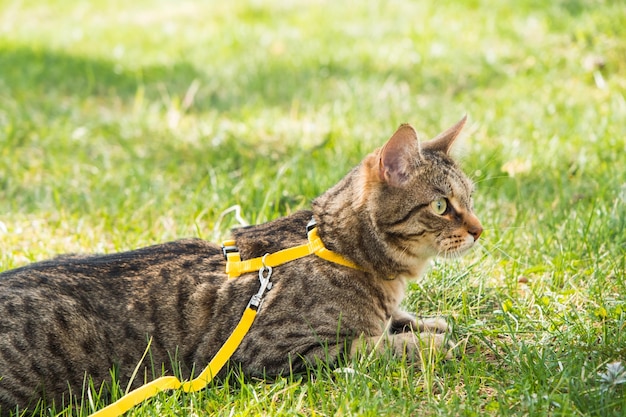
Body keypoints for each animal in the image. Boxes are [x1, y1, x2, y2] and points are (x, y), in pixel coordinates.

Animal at [0, 115, 482, 414]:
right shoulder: (283, 354)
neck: (339, 249)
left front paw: (429, 324)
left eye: (471, 199)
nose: (480, 230)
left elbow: (402, 320)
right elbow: (376, 348)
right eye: (442, 206)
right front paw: (433, 345)